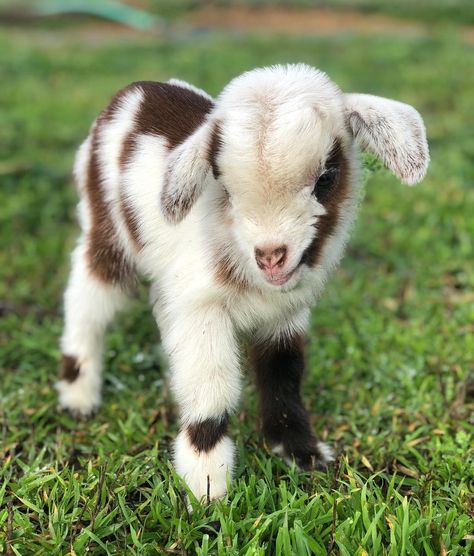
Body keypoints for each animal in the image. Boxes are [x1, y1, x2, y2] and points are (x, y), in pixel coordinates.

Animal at [56, 64, 430, 500]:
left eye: (326, 178)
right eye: (225, 186)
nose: (270, 255)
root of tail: (135, 91)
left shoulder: (285, 313)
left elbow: (283, 372)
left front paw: (301, 452)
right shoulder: (202, 309)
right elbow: (211, 386)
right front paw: (206, 486)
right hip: (105, 225)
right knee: (88, 300)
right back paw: (79, 395)